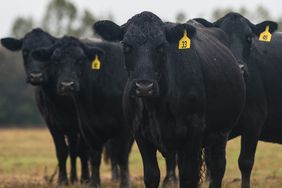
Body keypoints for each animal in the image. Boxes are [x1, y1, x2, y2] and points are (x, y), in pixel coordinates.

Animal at [0, 29, 88, 185]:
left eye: (47, 54)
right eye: (25, 51)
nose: (36, 76)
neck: (62, 102)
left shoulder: (80, 123)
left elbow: (82, 151)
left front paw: (84, 179)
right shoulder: (52, 123)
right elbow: (62, 151)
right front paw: (63, 180)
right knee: (72, 150)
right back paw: (73, 178)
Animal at [32, 37, 134, 188]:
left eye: (80, 60)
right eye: (55, 60)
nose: (67, 85)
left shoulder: (124, 129)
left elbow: (121, 156)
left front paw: (125, 183)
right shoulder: (87, 127)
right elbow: (93, 156)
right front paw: (94, 183)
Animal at [94, 11, 245, 188]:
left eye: (161, 46)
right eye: (126, 46)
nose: (144, 86)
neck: (156, 107)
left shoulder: (194, 131)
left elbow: (188, 176)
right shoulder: (141, 135)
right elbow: (152, 175)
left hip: (220, 133)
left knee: (217, 168)